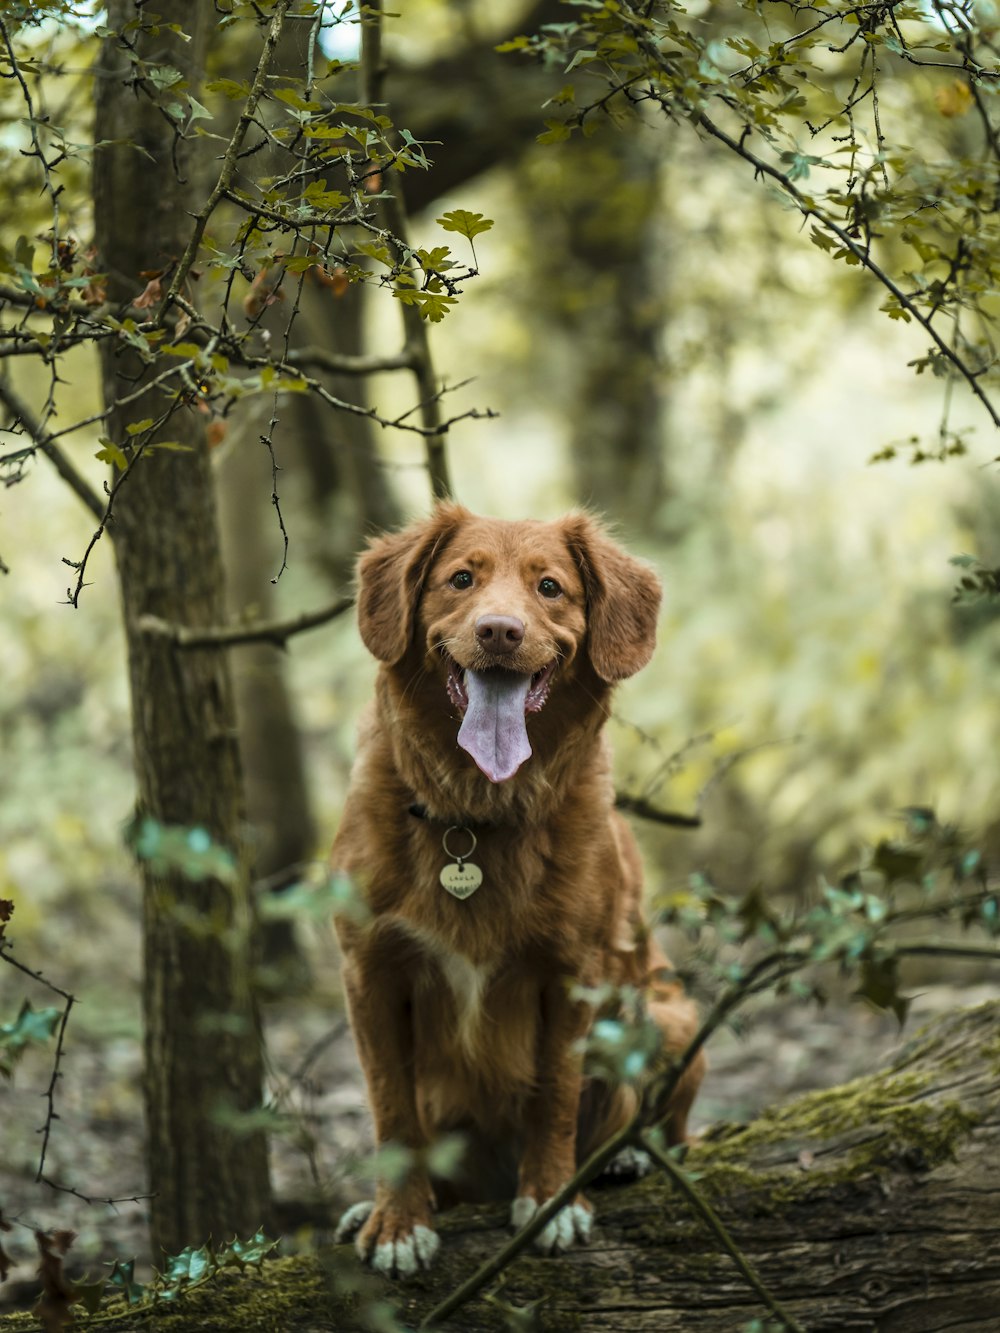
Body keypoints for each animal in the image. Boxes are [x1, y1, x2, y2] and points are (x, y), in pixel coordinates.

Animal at [330, 503, 704, 1274]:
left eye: (550, 587)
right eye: (461, 579)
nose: (498, 631)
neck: (477, 812)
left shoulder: (573, 972)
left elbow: (555, 1096)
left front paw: (551, 1199)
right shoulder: (368, 972)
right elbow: (390, 1108)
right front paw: (397, 1221)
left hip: (668, 1015)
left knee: (669, 1124)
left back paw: (628, 1157)